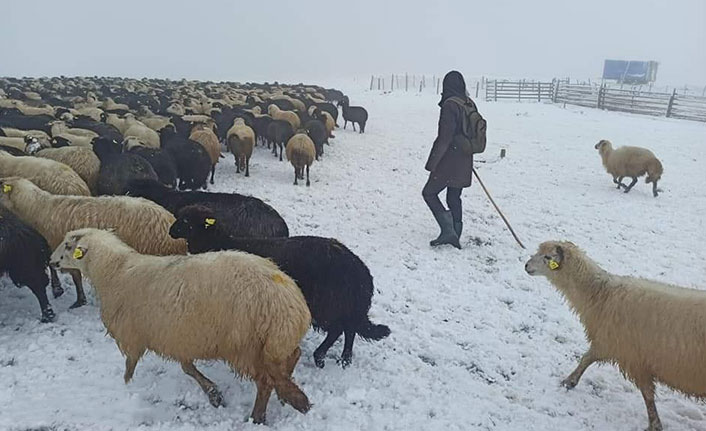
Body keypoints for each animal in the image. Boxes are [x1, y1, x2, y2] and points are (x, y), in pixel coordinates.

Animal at [49, 230, 310, 426]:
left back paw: (258, 416)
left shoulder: (136, 334)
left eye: (68, 246)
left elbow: (131, 364)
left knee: (265, 381)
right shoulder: (177, 337)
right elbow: (187, 368)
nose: (51, 261)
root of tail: (290, 303)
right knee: (291, 358)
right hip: (274, 342)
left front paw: (126, 384)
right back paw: (284, 393)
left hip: (245, 344)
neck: (114, 272)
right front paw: (213, 392)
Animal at [170, 205, 390, 368]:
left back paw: (322, 357)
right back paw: (344, 359)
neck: (217, 242)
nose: (171, 231)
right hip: (341, 305)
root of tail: (360, 271)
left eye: (187, 221)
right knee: (349, 328)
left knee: (340, 328)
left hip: (327, 304)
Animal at [524, 241, 704, 431]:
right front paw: (570, 381)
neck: (601, 294)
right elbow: (587, 358)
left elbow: (647, 394)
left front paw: (654, 424)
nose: (526, 266)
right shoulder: (610, 341)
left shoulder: (632, 355)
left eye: (547, 257)